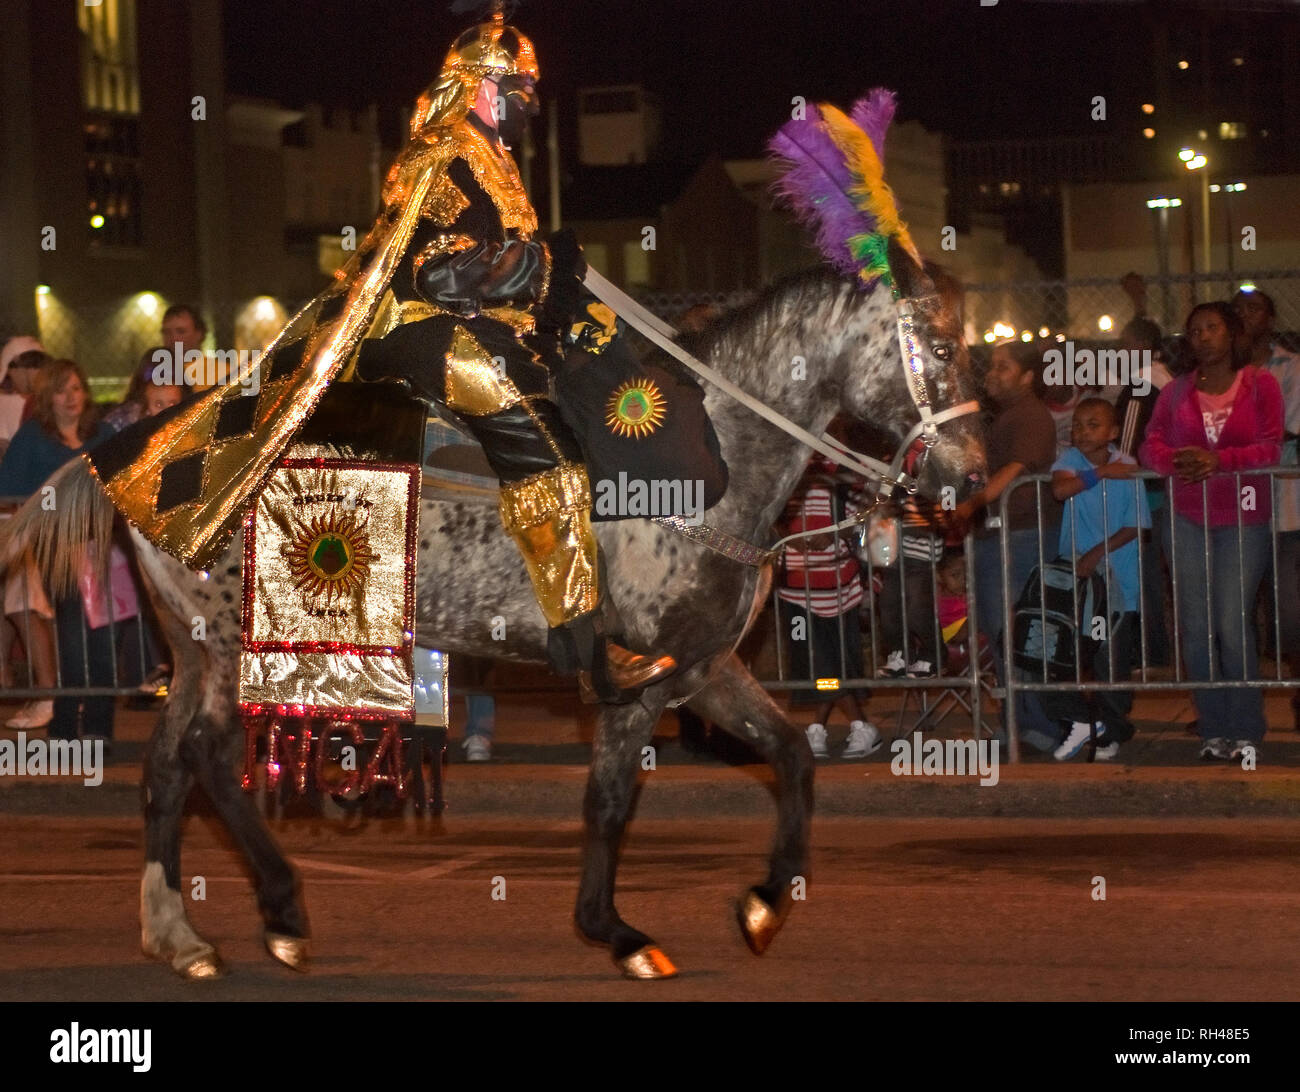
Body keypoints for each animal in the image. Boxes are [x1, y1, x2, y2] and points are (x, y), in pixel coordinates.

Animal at [2, 256, 982, 982]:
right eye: (935, 346)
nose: (969, 479)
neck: (699, 465)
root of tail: (131, 453)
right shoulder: (637, 684)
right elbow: (611, 799)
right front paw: (618, 931)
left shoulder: (700, 669)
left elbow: (787, 758)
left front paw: (764, 901)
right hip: (234, 642)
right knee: (207, 757)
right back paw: (280, 909)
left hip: (195, 649)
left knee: (168, 771)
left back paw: (180, 937)